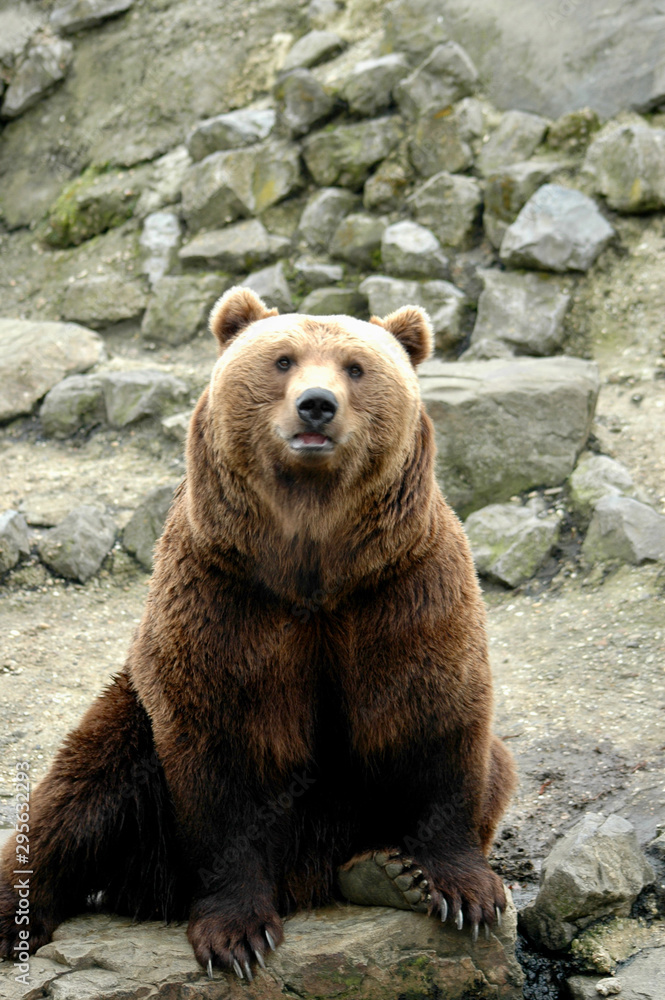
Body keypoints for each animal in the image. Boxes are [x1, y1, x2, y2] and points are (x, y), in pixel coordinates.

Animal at [0, 287, 516, 980]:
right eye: (282, 359)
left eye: (356, 367)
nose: (317, 404)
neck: (314, 565)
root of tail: (307, 879)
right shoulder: (227, 600)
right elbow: (227, 758)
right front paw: (238, 936)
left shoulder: (404, 591)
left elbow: (435, 720)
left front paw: (462, 890)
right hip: (130, 725)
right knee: (76, 801)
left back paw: (382, 872)